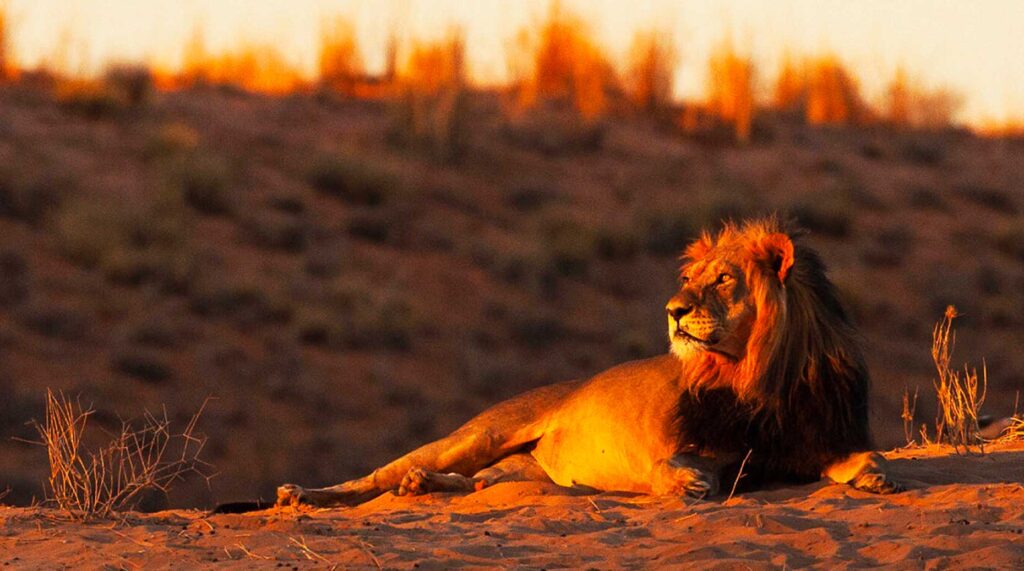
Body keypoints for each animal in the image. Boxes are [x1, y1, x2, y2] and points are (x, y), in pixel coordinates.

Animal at [274, 218, 900, 508]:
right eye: (692, 279)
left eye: (724, 278)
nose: (672, 310)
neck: (758, 376)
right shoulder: (685, 444)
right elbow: (676, 469)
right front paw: (690, 483)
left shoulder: (819, 440)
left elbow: (865, 456)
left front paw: (875, 475)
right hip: (481, 432)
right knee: (373, 478)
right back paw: (304, 494)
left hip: (518, 472)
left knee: (479, 486)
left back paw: (422, 486)